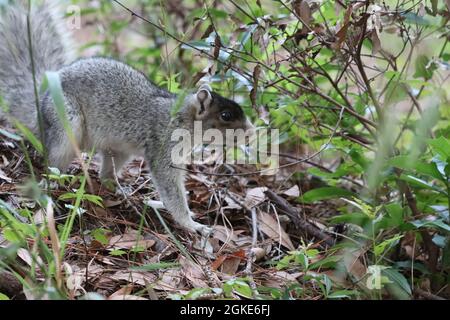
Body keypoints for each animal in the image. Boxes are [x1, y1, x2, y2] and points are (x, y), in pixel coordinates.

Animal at [0, 1, 253, 234]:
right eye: (225, 115)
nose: (251, 131)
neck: (181, 118)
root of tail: (39, 105)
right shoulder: (163, 146)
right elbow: (170, 188)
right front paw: (192, 224)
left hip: (120, 151)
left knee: (105, 174)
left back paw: (118, 189)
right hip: (66, 126)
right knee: (54, 160)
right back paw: (51, 181)